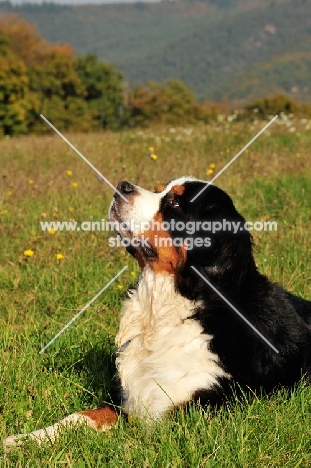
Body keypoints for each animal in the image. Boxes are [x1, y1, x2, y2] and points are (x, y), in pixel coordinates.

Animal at [4, 177, 311, 448]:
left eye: (174, 203)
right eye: (158, 188)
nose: (122, 186)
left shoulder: (185, 415)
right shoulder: (128, 401)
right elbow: (80, 417)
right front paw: (25, 440)